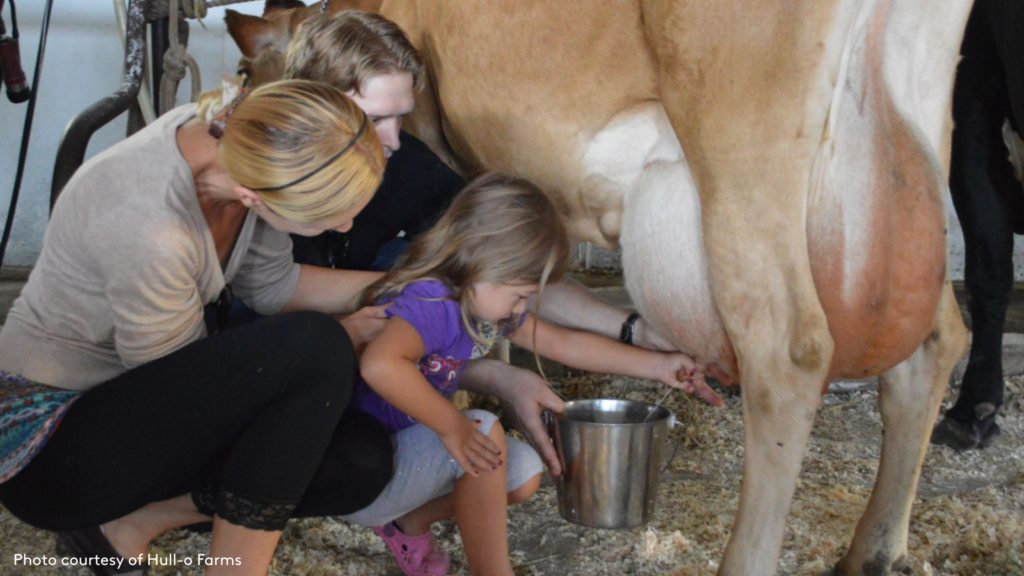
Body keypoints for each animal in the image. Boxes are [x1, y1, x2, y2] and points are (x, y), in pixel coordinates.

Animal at [225, 1, 973, 574]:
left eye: (247, 75)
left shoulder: (427, 129)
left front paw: (465, 396)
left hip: (741, 152)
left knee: (788, 351)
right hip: (915, 153)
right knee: (937, 340)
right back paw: (875, 552)